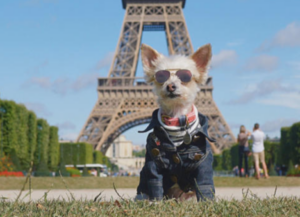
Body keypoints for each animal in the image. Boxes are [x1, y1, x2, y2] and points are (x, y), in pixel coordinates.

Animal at [136, 43, 216, 202]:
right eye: (160, 76)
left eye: (185, 76)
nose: (170, 86)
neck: (177, 119)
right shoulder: (153, 162)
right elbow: (155, 184)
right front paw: (156, 203)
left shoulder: (203, 162)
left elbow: (204, 184)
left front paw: (208, 203)